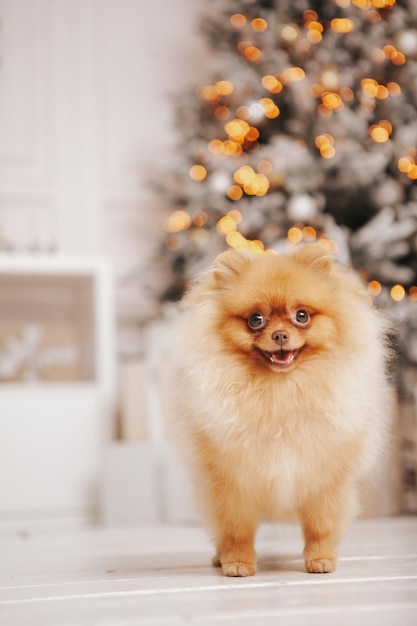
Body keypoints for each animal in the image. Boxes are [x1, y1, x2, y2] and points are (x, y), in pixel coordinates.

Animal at [167, 243, 388, 576]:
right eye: (255, 320)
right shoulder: (232, 483)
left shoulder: (324, 481)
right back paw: (220, 557)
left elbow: (320, 526)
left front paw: (321, 559)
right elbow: (237, 530)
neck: (280, 393)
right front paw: (238, 562)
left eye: (301, 316)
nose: (281, 335)